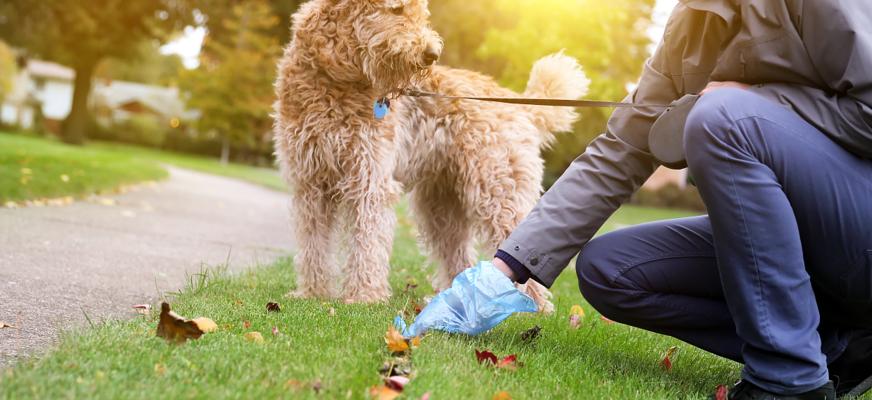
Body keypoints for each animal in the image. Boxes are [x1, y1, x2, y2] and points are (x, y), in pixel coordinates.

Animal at [274, 0, 584, 310]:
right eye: (397, 10)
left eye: (421, 14)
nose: (431, 53)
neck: (334, 81)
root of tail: (520, 105)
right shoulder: (310, 182)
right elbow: (313, 243)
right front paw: (312, 292)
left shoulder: (369, 181)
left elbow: (367, 242)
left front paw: (364, 296)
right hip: (441, 205)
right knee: (458, 254)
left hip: (497, 190)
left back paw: (531, 307)